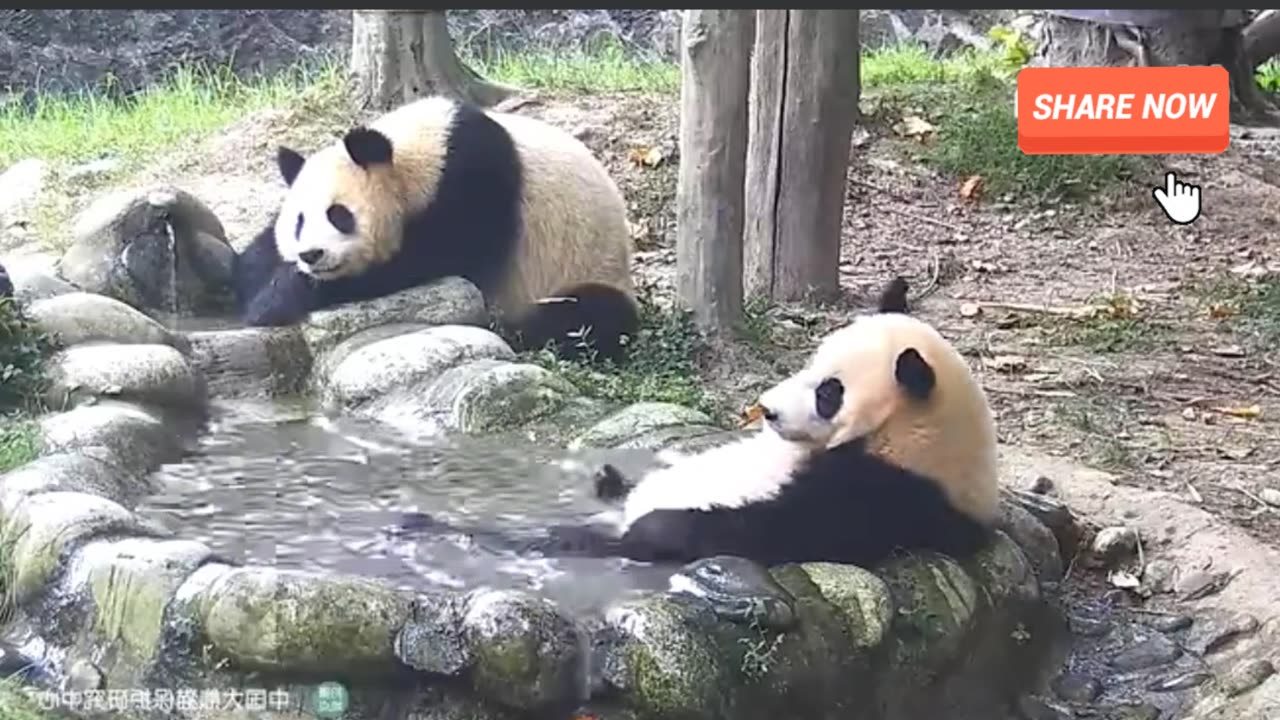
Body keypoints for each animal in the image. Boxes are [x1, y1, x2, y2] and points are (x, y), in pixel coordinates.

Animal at [231, 94, 640, 361]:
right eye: (299, 222)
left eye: (338, 214)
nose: (312, 255)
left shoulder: (478, 179)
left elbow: (430, 257)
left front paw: (279, 298)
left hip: (583, 270)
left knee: (587, 316)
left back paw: (521, 329)